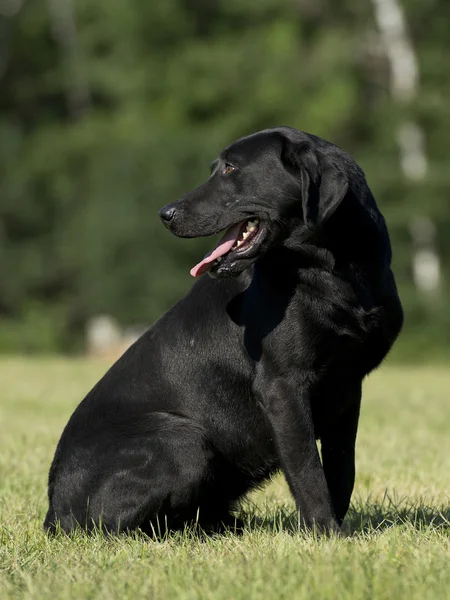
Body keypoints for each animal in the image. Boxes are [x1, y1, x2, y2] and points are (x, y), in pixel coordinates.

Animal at [44, 126, 402, 536]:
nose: (165, 214)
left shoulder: (347, 388)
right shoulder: (282, 385)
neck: (336, 272)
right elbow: (308, 470)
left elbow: (342, 470)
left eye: (231, 168)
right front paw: (326, 534)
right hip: (181, 438)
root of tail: (53, 510)